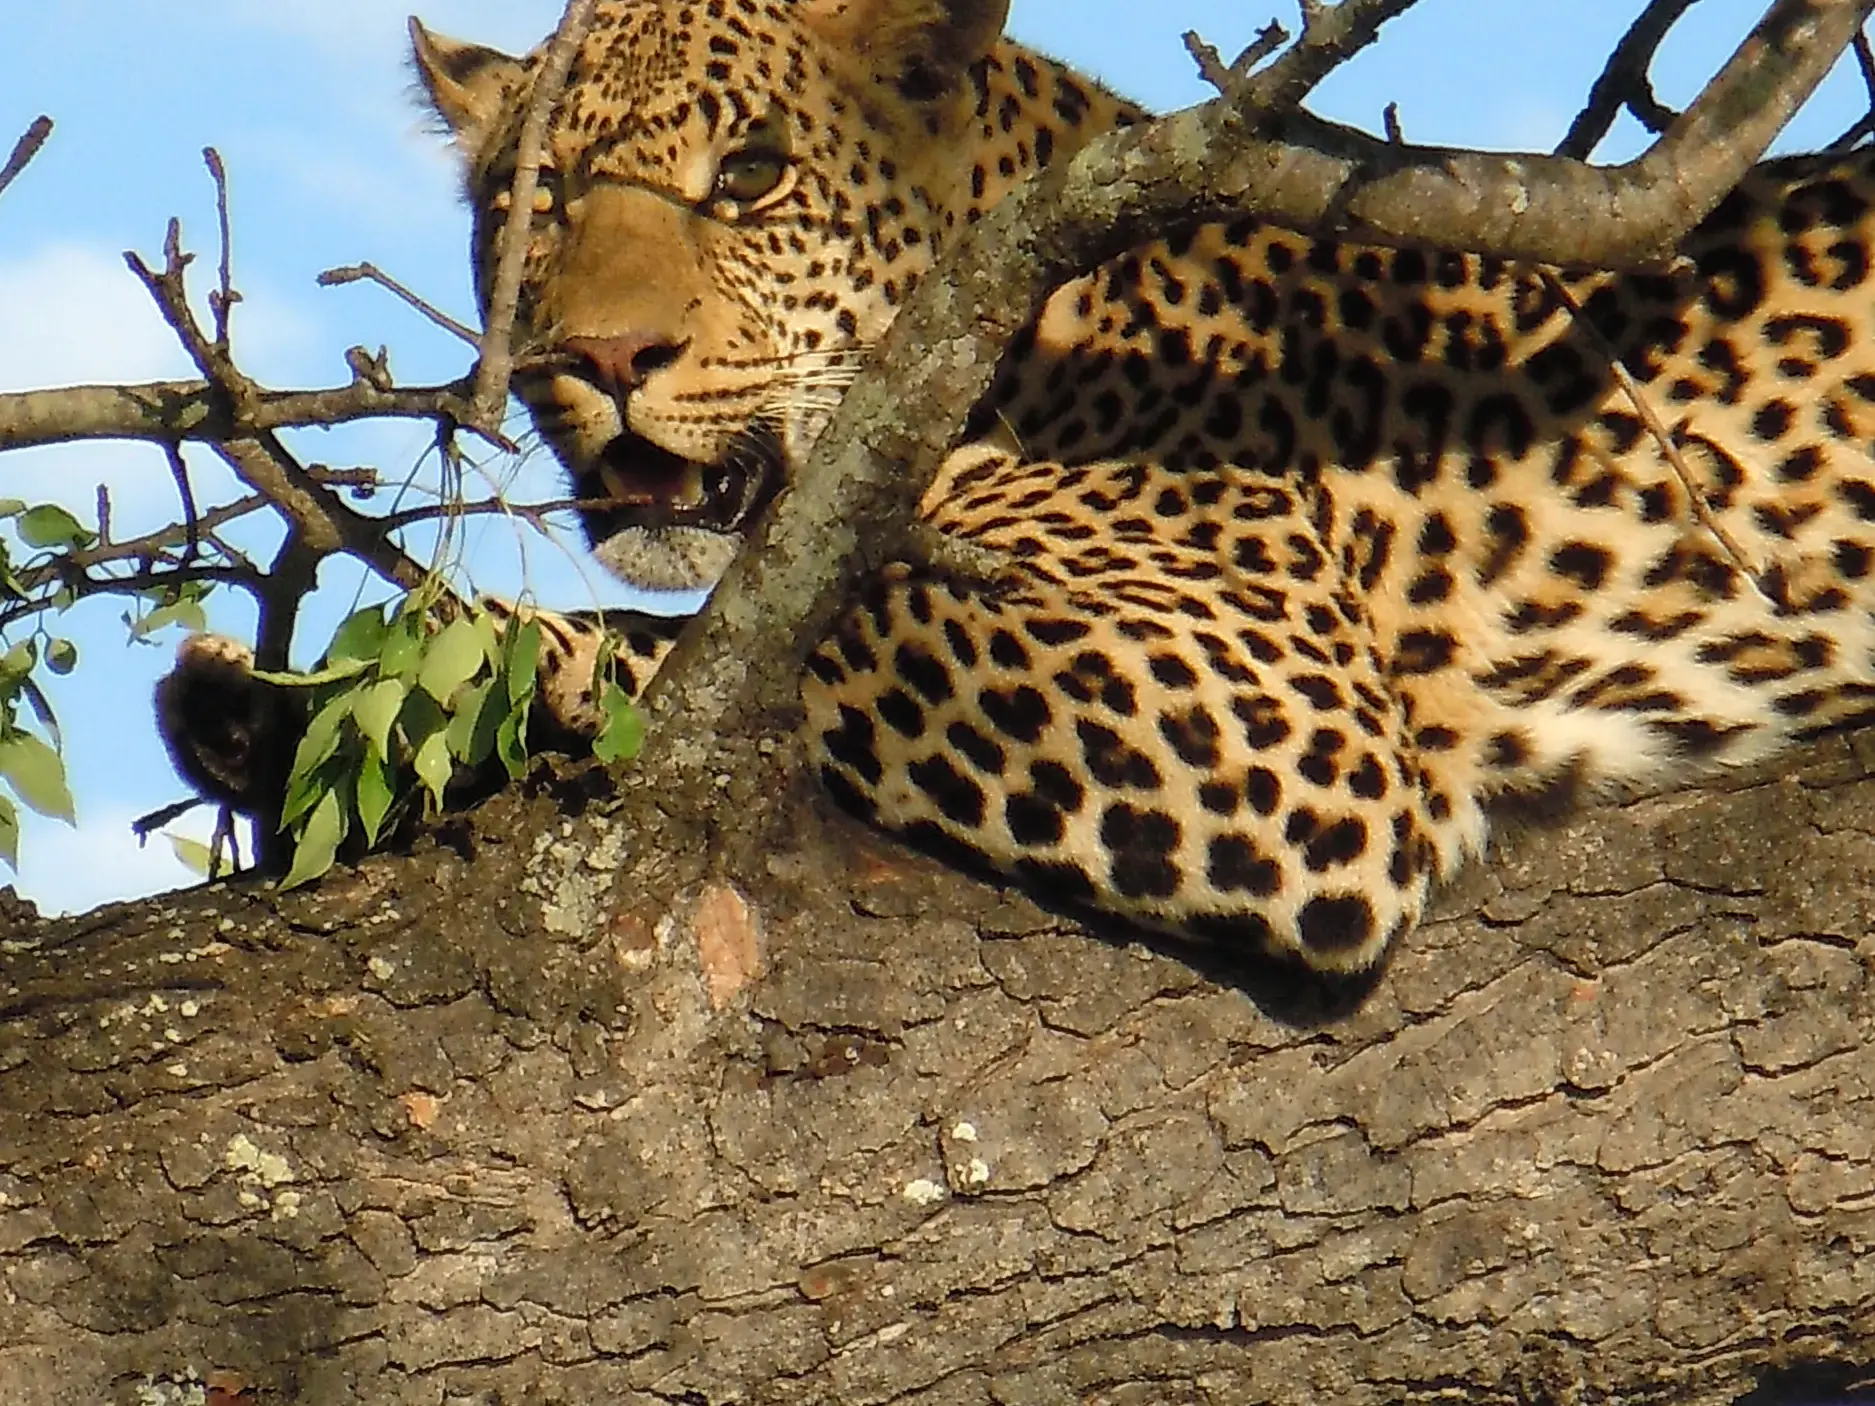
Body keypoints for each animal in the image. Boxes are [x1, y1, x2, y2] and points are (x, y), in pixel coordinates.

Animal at [159, 0, 1875, 975]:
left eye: (750, 179)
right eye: (542, 202)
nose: (600, 354)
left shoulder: (1271, 708)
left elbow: (769, 642)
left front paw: (394, 687)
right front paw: (271, 714)